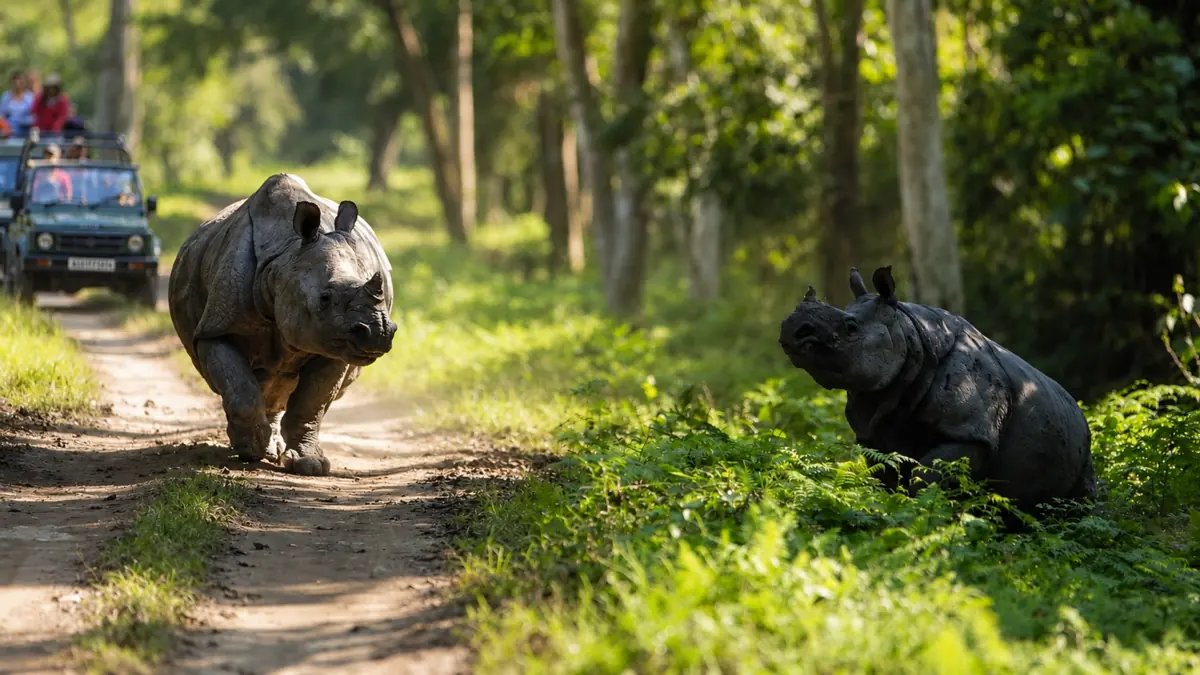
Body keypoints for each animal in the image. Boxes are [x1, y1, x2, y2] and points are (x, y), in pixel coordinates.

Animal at [168, 173, 397, 476]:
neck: (282, 258)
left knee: (278, 383)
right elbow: (241, 390)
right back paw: (259, 446)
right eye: (325, 297)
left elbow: (312, 403)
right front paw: (249, 450)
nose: (378, 331)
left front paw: (309, 465)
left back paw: (272, 448)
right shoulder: (217, 329)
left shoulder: (335, 343)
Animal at [778, 265, 1098, 515]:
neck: (910, 334)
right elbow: (885, 475)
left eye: (851, 328)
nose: (793, 328)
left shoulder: (969, 432)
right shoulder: (872, 428)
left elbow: (925, 473)